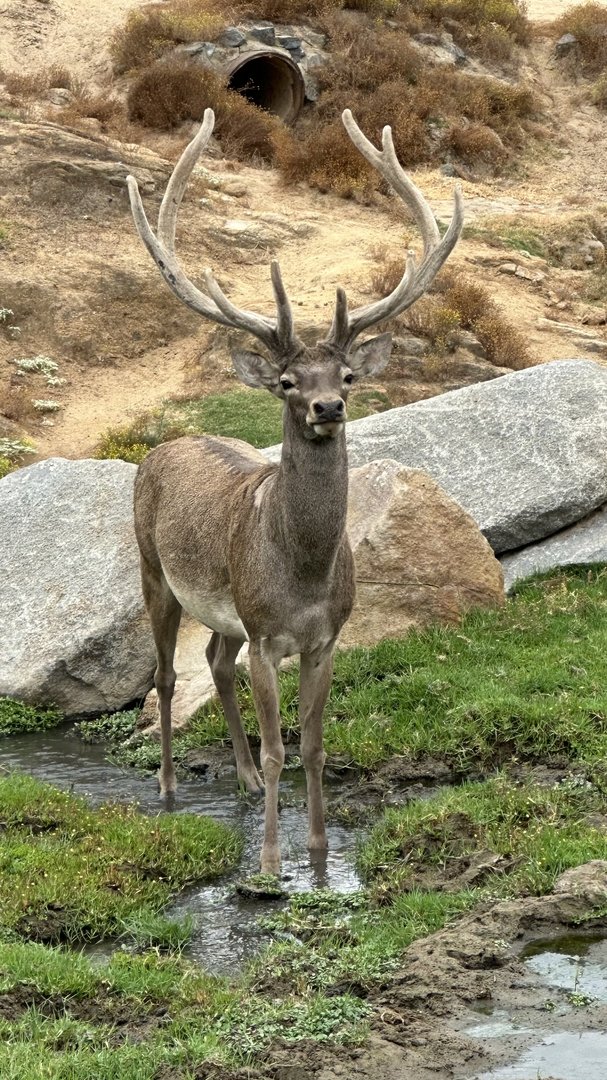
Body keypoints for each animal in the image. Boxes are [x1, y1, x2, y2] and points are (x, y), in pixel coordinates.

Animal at [127, 107, 464, 874]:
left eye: (346, 377)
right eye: (287, 382)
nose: (326, 408)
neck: (302, 573)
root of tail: (166, 445)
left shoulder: (324, 639)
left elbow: (311, 745)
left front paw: (316, 853)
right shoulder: (266, 633)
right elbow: (282, 746)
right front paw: (270, 864)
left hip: (224, 618)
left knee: (215, 663)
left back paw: (245, 780)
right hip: (154, 572)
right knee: (165, 676)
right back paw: (167, 786)